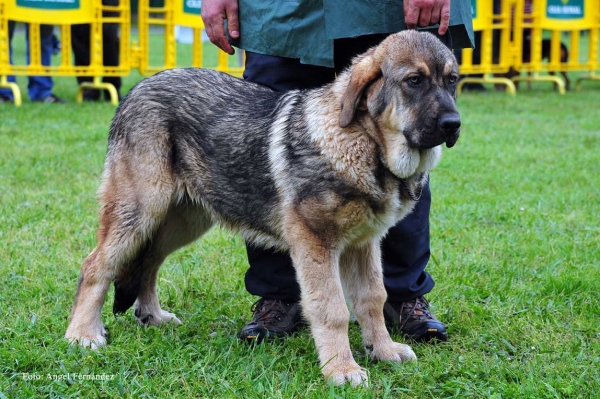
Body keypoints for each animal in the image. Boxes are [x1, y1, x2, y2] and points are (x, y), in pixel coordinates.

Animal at [64, 31, 460, 388]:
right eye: (413, 81)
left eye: (452, 80)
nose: (453, 125)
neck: (365, 142)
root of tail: (136, 90)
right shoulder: (316, 243)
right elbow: (332, 308)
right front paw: (341, 369)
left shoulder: (364, 244)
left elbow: (373, 298)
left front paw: (384, 350)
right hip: (140, 210)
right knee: (96, 265)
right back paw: (83, 333)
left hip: (182, 221)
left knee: (148, 262)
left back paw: (152, 316)